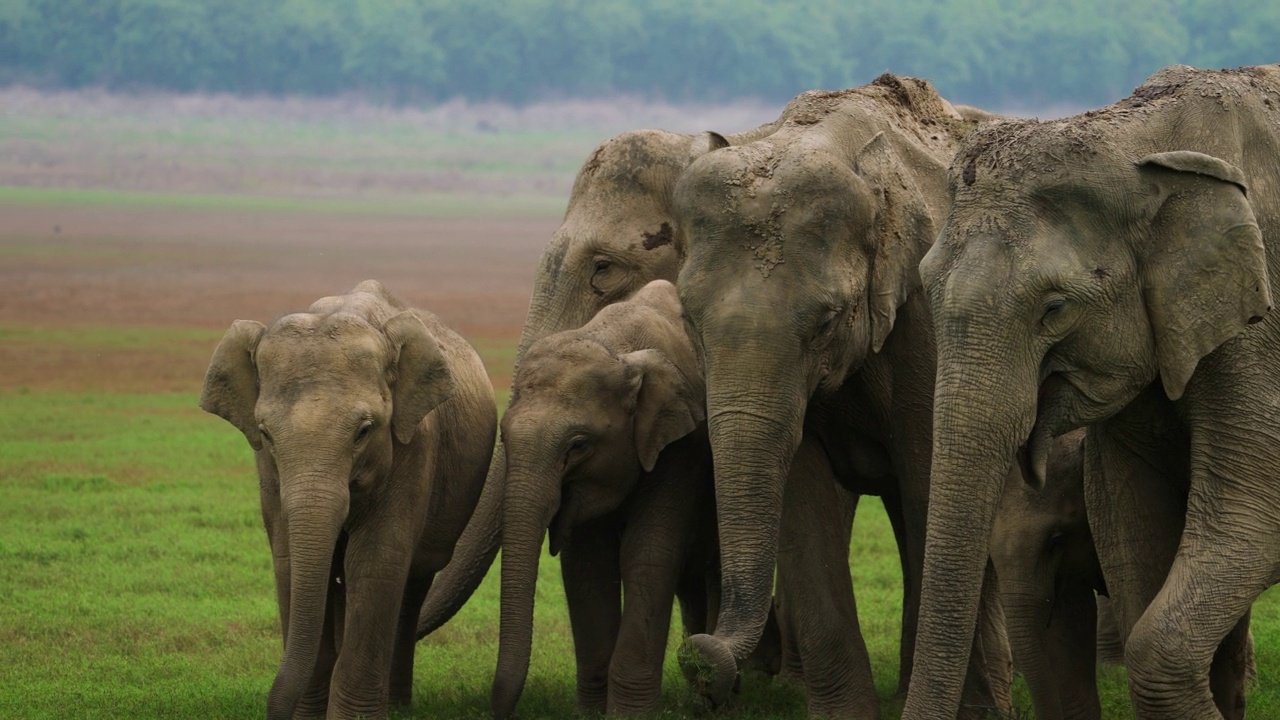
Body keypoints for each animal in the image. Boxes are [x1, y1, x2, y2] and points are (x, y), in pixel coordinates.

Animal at [199, 279, 494, 717]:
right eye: (265, 433)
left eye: (364, 431)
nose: (273, 709)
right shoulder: (268, 468)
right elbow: (290, 561)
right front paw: (309, 716)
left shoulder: (413, 444)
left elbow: (373, 561)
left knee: (412, 581)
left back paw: (397, 706)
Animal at [488, 278, 721, 712]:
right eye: (503, 437)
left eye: (578, 446)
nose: (498, 712)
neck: (615, 347)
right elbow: (588, 566)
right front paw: (593, 712)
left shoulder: (683, 446)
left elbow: (647, 554)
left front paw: (630, 713)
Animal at [670, 71, 1008, 712]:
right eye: (687, 317)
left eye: (827, 320)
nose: (698, 662)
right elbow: (803, 502)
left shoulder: (928, 316)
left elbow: (930, 483)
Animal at [901, 63, 1280, 717]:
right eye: (924, 285)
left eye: (1054, 309)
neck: (1134, 139)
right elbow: (1133, 530)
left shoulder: (1261, 331)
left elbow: (1255, 505)